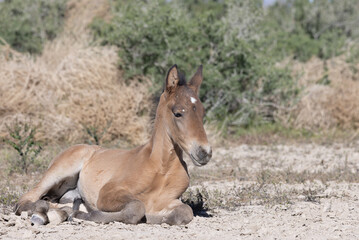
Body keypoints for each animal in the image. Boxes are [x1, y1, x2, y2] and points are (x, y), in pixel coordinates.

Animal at [14, 64, 211, 225]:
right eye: (178, 113)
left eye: (202, 113)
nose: (205, 152)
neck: (161, 168)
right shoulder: (108, 193)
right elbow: (136, 208)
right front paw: (81, 215)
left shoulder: (170, 200)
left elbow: (185, 212)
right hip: (58, 172)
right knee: (26, 200)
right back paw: (51, 214)